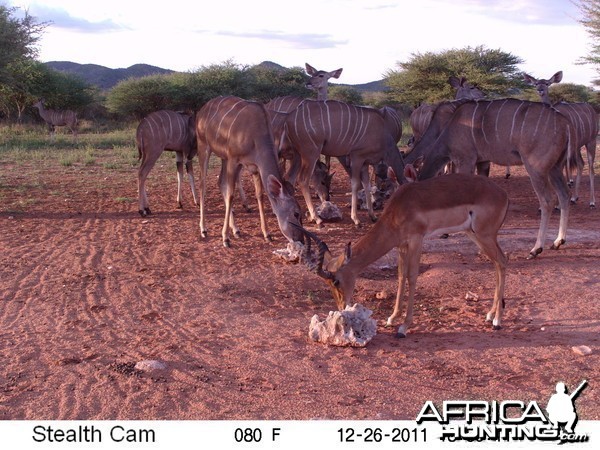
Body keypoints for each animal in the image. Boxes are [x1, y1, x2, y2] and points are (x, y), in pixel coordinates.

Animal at [196, 96, 302, 248]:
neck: (256, 134)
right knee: (203, 184)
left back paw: (236, 230)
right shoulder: (234, 159)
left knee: (220, 182)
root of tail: (201, 111)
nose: (300, 239)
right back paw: (204, 229)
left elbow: (260, 195)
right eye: (296, 213)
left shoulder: (255, 167)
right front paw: (225, 238)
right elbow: (231, 194)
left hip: (224, 157)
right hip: (204, 146)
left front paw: (267, 234)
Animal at [298, 169, 508, 338]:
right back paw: (490, 315)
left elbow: (412, 277)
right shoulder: (402, 245)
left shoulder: (416, 240)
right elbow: (400, 276)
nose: (342, 307)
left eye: (336, 281)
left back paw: (497, 321)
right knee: (497, 263)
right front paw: (392, 318)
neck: (398, 210)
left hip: (484, 235)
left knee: (503, 261)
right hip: (475, 235)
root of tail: (503, 194)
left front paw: (403, 327)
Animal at [406, 98, 576, 260]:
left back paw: (535, 249)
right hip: (555, 168)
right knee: (564, 194)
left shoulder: (465, 159)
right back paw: (558, 241)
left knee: (547, 200)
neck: (450, 126)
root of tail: (566, 124)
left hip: (536, 168)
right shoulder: (482, 162)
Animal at [524, 71, 596, 207]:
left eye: (547, 83)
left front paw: (557, 204)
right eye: (536, 83)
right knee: (581, 164)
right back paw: (574, 197)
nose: (540, 90)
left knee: (590, 167)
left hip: (591, 141)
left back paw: (592, 201)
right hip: (577, 146)